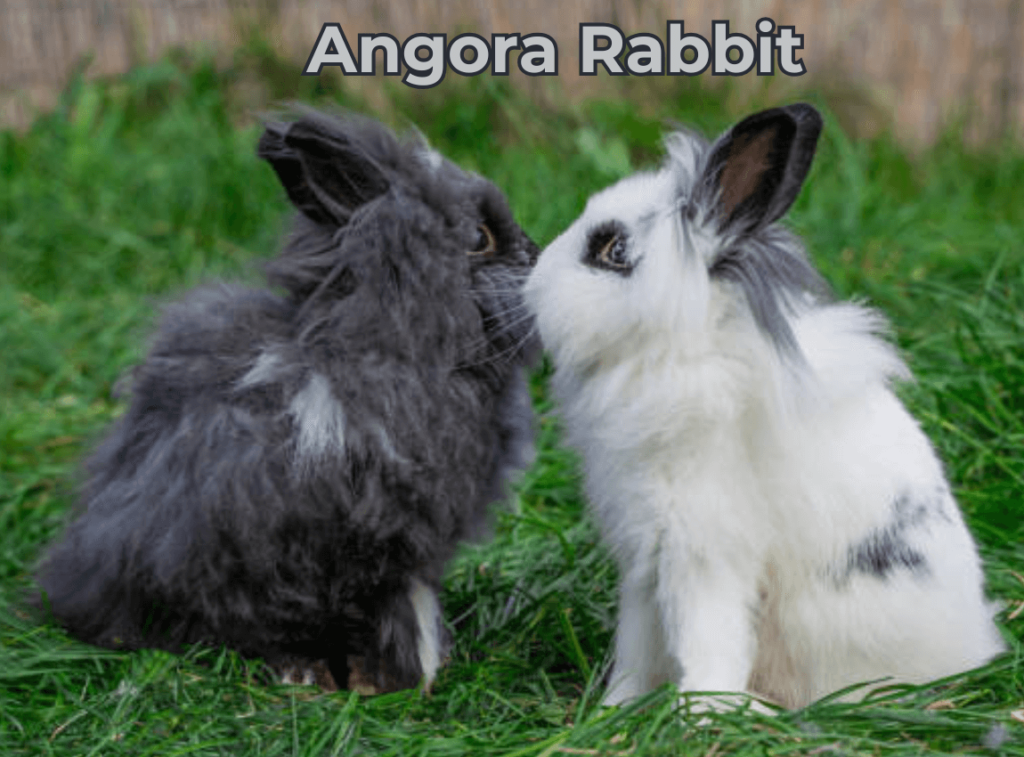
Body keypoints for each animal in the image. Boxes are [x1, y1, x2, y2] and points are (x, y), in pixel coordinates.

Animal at [524, 101, 1003, 708]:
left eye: (612, 251)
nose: (532, 281)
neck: (686, 349)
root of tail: (972, 645)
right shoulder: (645, 562)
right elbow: (636, 648)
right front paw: (613, 710)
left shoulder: (703, 551)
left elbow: (708, 642)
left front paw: (701, 713)